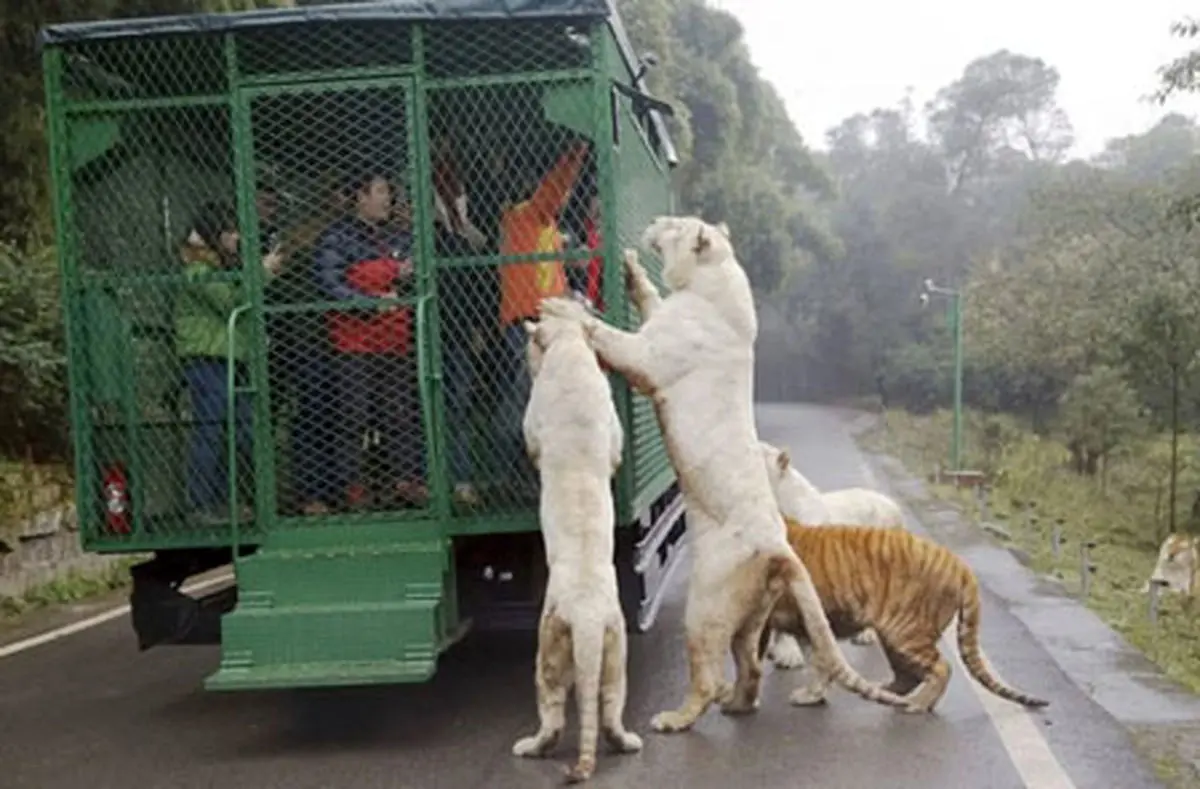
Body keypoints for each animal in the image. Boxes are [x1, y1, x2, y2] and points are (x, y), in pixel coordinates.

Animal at [508, 309, 643, 777]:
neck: (568, 347)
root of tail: (585, 616)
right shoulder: (613, 431)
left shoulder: (533, 426)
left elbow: (531, 445)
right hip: (616, 650)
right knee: (611, 707)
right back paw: (630, 742)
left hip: (547, 650)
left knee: (551, 713)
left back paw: (528, 747)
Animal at [768, 515, 1051, 714]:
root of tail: (959, 564)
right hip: (893, 636)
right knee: (908, 674)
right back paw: (885, 691)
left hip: (906, 632)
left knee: (941, 667)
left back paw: (916, 705)